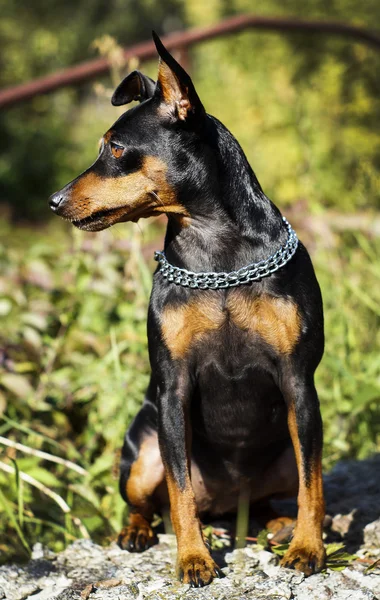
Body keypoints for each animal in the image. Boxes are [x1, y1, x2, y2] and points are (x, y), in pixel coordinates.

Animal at [48, 31, 326, 584]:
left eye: (115, 148)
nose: (55, 200)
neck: (217, 256)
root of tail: (227, 509)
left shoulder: (299, 383)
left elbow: (314, 484)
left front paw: (308, 548)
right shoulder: (173, 389)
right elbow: (179, 495)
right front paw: (194, 559)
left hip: (285, 443)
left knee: (278, 494)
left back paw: (278, 524)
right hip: (142, 450)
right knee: (151, 502)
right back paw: (138, 532)